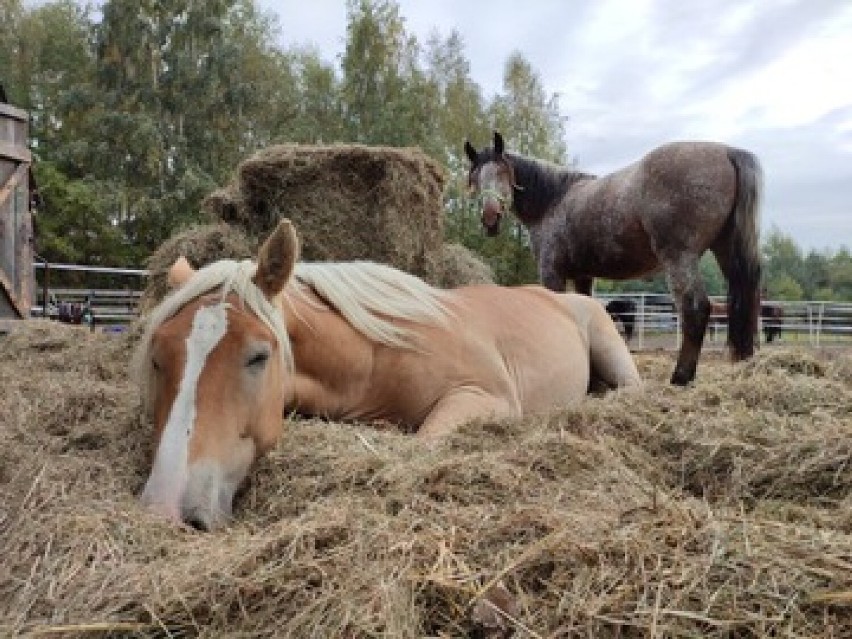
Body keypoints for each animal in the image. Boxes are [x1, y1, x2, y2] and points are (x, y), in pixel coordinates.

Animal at [135, 220, 640, 528]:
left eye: (258, 356)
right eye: (158, 358)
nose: (168, 506)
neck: (377, 358)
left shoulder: (484, 397)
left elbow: (425, 442)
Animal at [466, 131, 764, 384]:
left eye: (503, 172)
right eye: (476, 177)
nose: (490, 218)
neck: (552, 202)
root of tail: (726, 152)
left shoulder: (552, 273)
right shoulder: (583, 276)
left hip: (680, 257)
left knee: (696, 309)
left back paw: (680, 377)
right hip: (726, 252)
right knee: (746, 302)